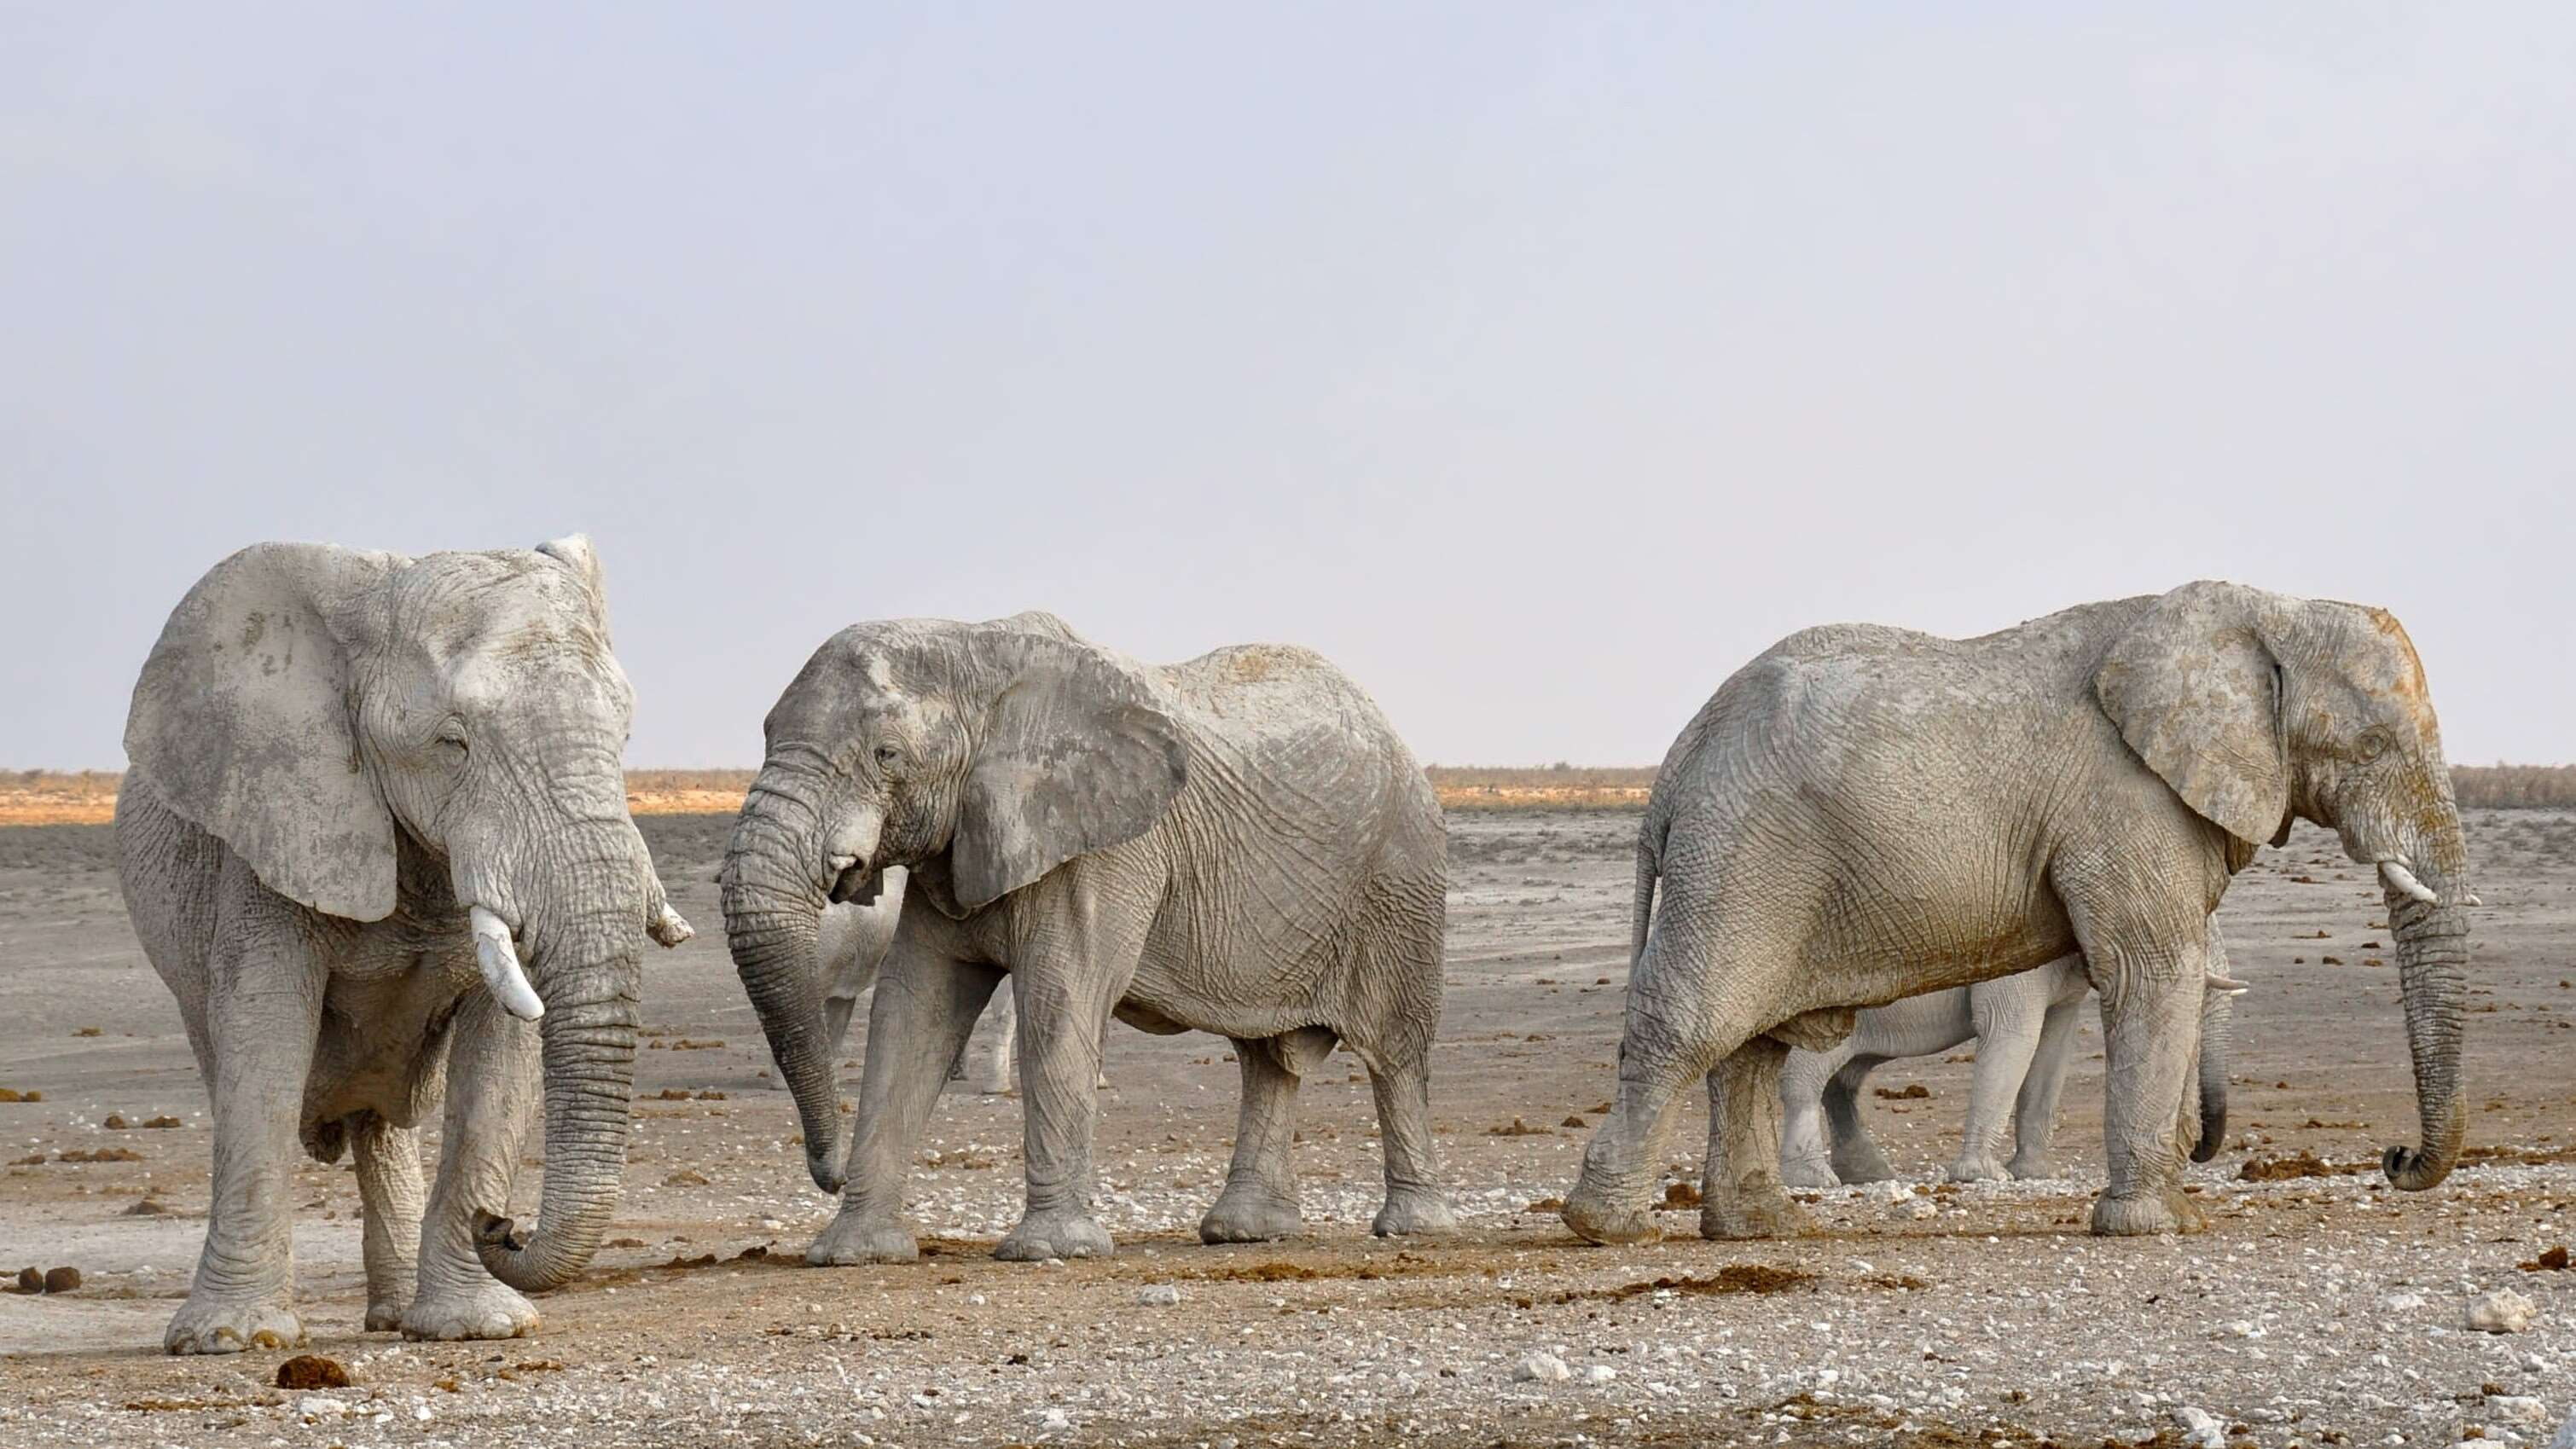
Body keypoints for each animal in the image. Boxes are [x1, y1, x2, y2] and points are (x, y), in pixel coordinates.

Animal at [115, 536, 691, 1353]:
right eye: (453, 743)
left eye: (624, 737)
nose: (505, 1224)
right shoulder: (273, 828)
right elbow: (264, 1041)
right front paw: (230, 1339)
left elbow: (500, 1061)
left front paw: (478, 1326)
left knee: (380, 1124)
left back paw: (394, 1316)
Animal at [721, 612, 1456, 1264]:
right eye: (765, 733)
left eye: (886, 754)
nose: (830, 1172)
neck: (975, 648)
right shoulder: (957, 844)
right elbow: (914, 1010)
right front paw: (853, 1252)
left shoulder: (1106, 848)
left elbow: (1059, 996)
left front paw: (1051, 1250)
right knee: (1267, 1059)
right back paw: (1245, 1232)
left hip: (1402, 875)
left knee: (1394, 1049)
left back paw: (1411, 1226)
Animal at [1776, 929, 2247, 1188]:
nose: (2195, 1149)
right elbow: (2013, 1036)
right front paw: (1986, 1176)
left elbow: (2053, 1049)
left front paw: (2036, 1175)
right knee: (1808, 1076)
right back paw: (1814, 1180)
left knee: (1844, 1081)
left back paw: (1870, 1175)